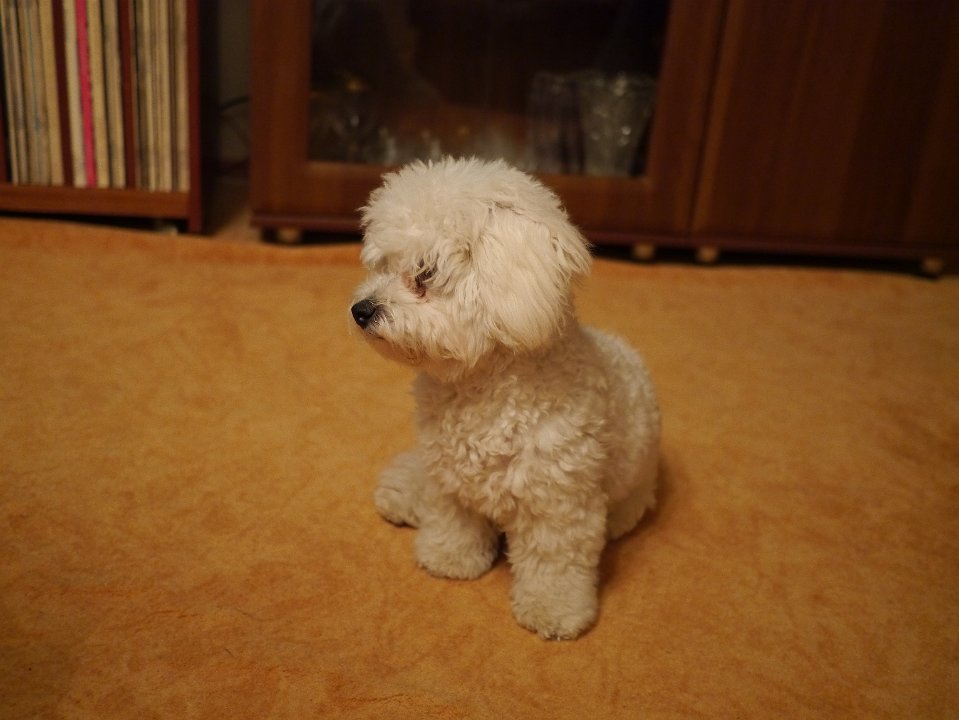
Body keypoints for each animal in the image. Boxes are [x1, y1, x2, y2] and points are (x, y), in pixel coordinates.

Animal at [350, 157, 660, 639]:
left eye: (425, 273)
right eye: (381, 265)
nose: (360, 310)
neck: (480, 389)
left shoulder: (558, 503)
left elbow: (554, 561)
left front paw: (554, 610)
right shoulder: (449, 479)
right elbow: (454, 520)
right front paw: (449, 558)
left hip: (632, 487)